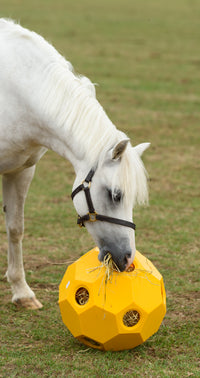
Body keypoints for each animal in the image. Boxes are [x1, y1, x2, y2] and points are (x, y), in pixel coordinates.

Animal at [0, 19, 149, 308]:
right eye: (116, 195)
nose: (128, 259)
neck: (15, 91)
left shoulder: (21, 171)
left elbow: (15, 228)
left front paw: (22, 292)